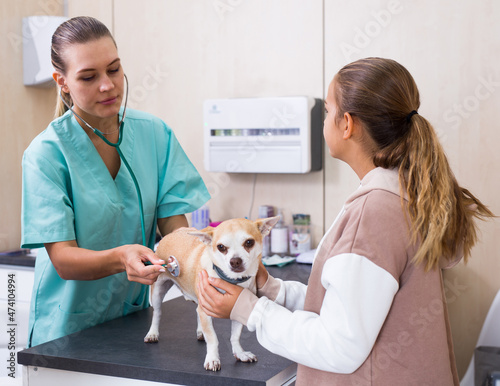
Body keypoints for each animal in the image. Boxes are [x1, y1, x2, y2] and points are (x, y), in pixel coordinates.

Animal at [144, 217, 278, 370]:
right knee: (157, 312)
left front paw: (240, 353)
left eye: (249, 242)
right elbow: (213, 338)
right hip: (157, 290)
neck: (232, 280)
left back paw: (200, 331)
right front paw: (213, 359)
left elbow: (235, 336)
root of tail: (171, 234)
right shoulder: (205, 312)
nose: (235, 261)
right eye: (221, 247)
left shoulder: (237, 309)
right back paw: (153, 333)